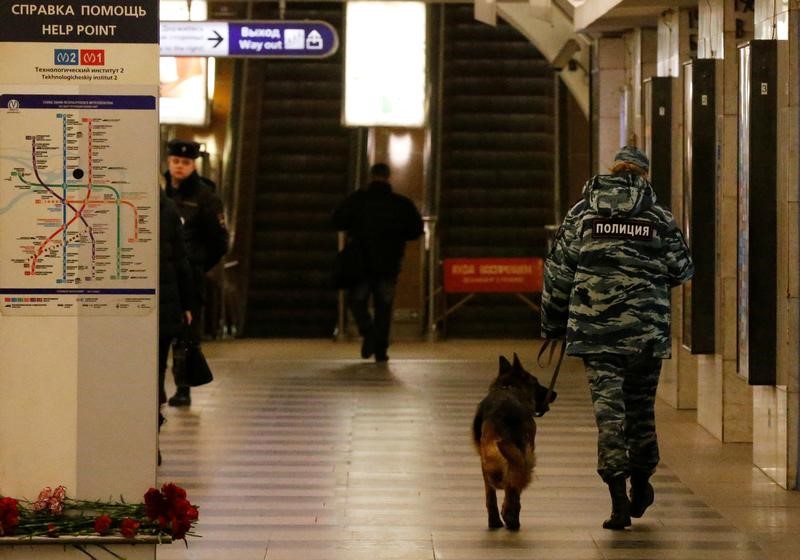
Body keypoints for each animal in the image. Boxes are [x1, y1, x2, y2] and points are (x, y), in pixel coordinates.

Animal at [468, 352, 556, 532]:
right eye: (536, 382)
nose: (554, 394)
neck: (508, 387)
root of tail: (508, 413)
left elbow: (490, 495)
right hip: (523, 454)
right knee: (514, 484)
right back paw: (512, 517)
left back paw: (504, 518)